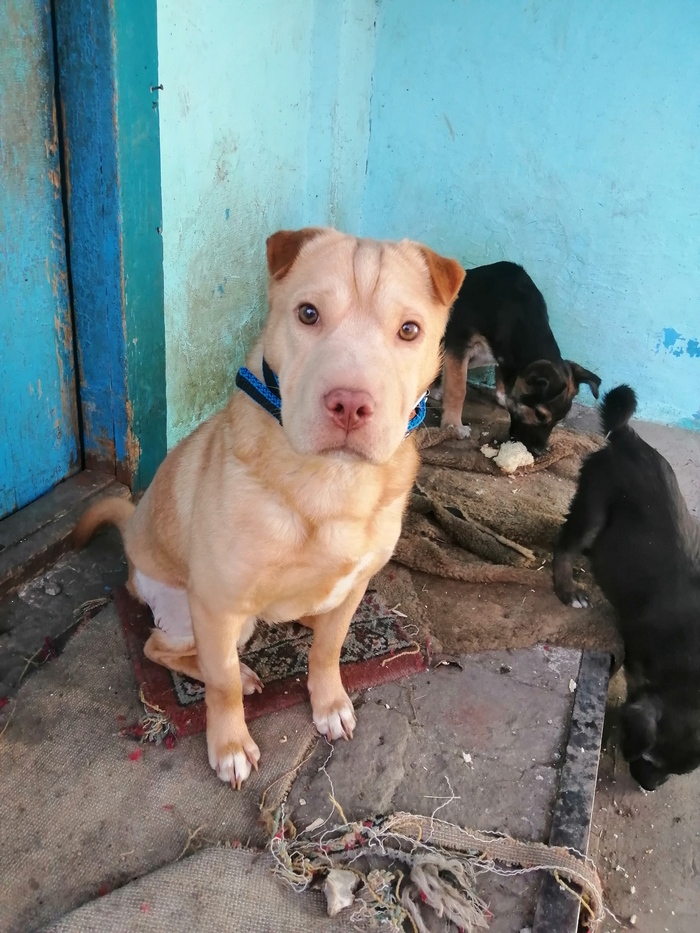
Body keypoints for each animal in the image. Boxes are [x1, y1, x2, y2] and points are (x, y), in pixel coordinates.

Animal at [73, 227, 464, 789]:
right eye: (308, 314)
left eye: (409, 330)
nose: (350, 405)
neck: (331, 481)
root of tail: (132, 535)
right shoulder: (218, 606)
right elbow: (222, 687)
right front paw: (230, 743)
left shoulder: (355, 585)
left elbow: (329, 650)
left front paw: (329, 702)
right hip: (201, 615)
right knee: (162, 648)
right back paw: (240, 668)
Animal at [434, 261, 600, 455]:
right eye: (539, 414)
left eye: (559, 420)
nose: (539, 452)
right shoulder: (458, 346)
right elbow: (457, 389)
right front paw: (453, 425)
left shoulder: (504, 355)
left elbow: (502, 377)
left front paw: (502, 398)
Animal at [554, 385, 700, 790]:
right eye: (650, 759)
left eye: (678, 773)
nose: (649, 788)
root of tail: (628, 438)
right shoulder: (636, 663)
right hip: (592, 507)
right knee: (564, 547)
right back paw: (568, 589)